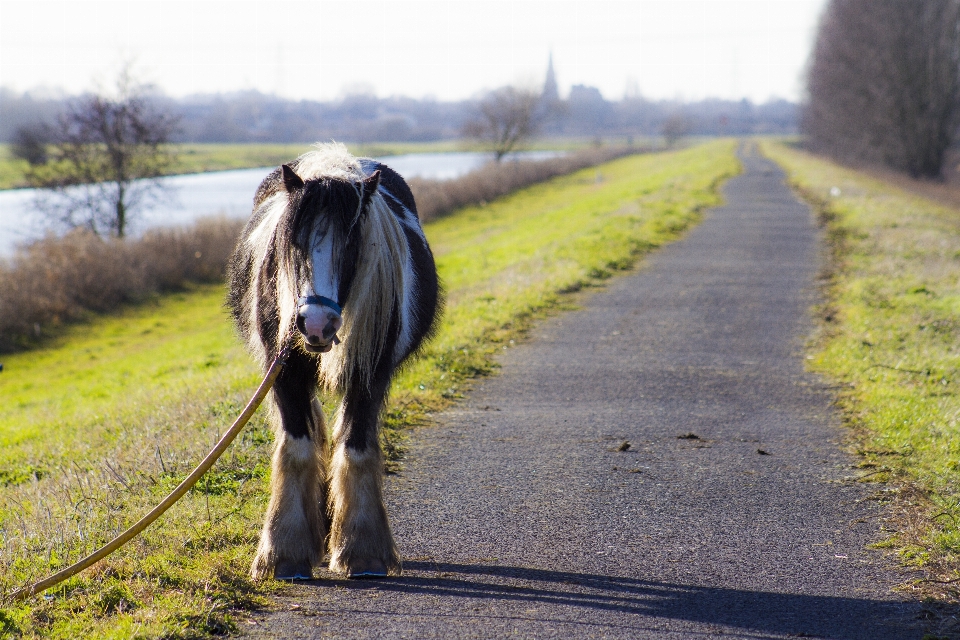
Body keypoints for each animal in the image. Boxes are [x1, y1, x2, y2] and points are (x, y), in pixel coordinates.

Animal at [229, 144, 442, 580]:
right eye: (294, 242)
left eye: (352, 245)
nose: (316, 323)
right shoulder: (284, 374)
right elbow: (298, 446)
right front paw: (285, 551)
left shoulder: (370, 374)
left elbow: (356, 446)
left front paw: (361, 550)